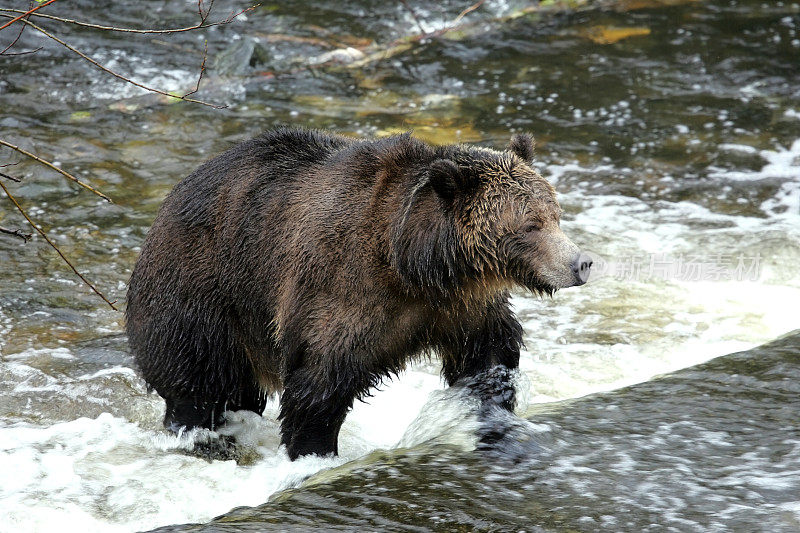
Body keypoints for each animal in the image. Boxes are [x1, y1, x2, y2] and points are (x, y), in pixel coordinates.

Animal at [123, 128, 588, 458]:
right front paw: (312, 451)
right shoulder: (340, 290)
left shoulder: (462, 306)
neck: (415, 265)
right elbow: (319, 383)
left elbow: (489, 354)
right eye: (530, 225)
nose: (580, 263)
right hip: (205, 291)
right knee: (196, 382)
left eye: (555, 214)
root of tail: (166, 204)